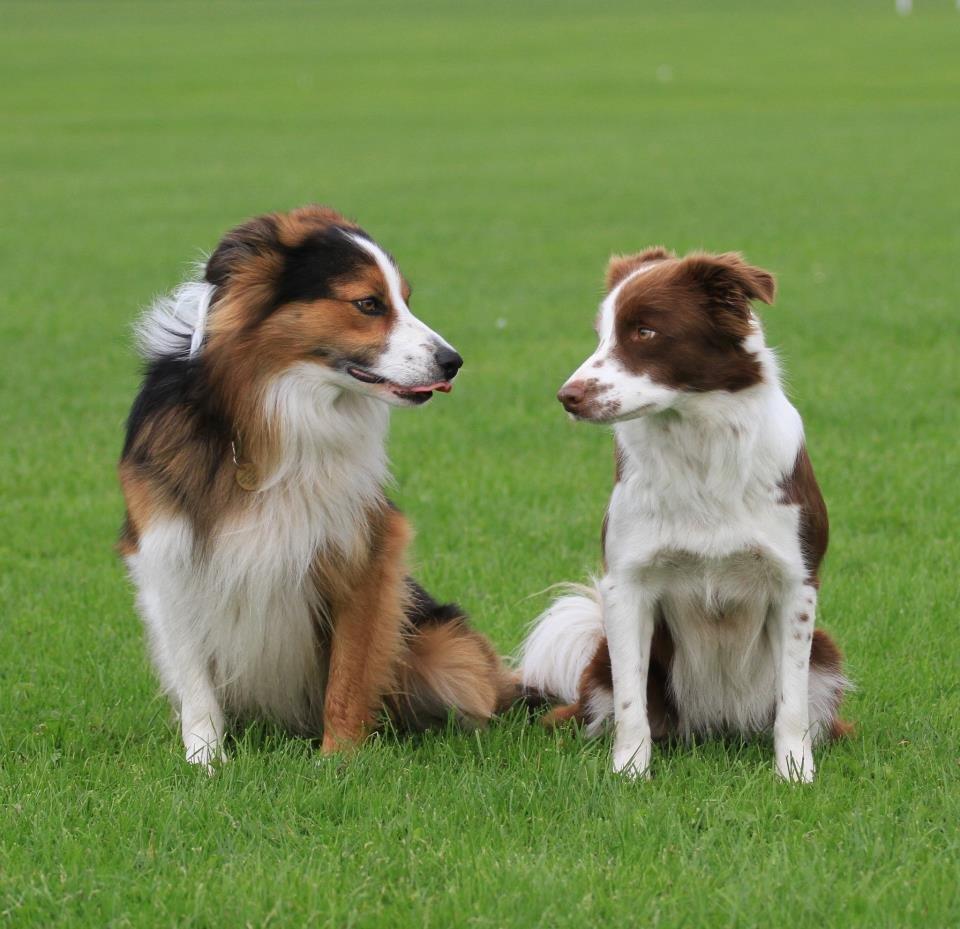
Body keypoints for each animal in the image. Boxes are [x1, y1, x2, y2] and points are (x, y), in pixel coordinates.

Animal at [118, 207, 516, 764]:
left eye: (405, 300)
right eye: (369, 304)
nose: (452, 361)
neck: (271, 409)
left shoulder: (362, 552)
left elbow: (349, 671)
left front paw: (339, 761)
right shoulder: (166, 553)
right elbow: (194, 678)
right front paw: (206, 761)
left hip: (449, 652)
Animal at [520, 248, 852, 784]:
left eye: (645, 331)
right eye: (601, 334)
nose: (567, 397)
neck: (699, 446)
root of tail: (715, 726)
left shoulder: (796, 583)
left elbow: (792, 702)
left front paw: (794, 774)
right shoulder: (626, 583)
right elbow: (631, 700)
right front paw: (630, 773)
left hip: (826, 655)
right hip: (598, 671)